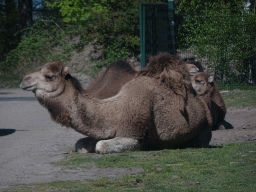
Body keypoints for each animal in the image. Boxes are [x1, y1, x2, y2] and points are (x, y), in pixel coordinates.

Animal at [19, 54, 212, 154]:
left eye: (49, 76)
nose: (23, 80)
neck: (114, 111)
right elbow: (80, 144)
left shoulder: (133, 133)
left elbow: (101, 145)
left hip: (204, 130)